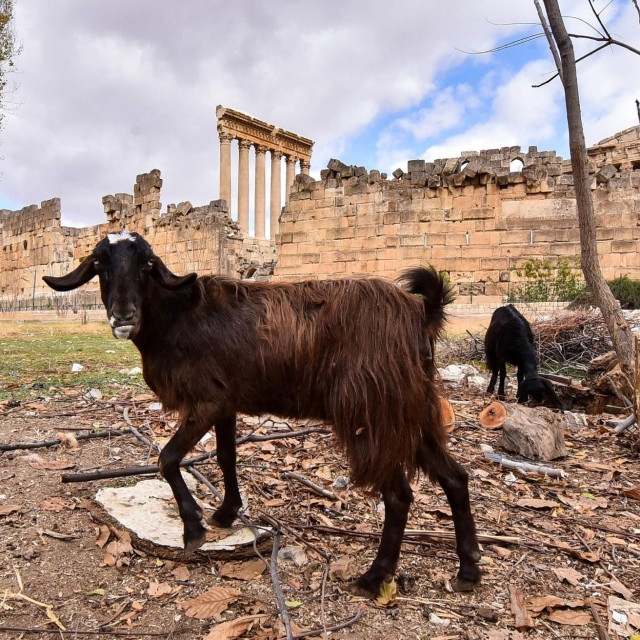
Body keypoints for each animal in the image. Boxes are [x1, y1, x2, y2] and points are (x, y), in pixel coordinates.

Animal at [43, 230, 480, 596]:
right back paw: (469, 570)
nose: (123, 316)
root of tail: (420, 314)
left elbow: (167, 459)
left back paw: (374, 578)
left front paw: (194, 527)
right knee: (455, 477)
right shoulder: (225, 403)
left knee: (399, 495)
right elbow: (226, 456)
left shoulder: (205, 401)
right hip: (413, 412)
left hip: (373, 414)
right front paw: (224, 513)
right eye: (99, 264)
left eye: (147, 264)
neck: (178, 315)